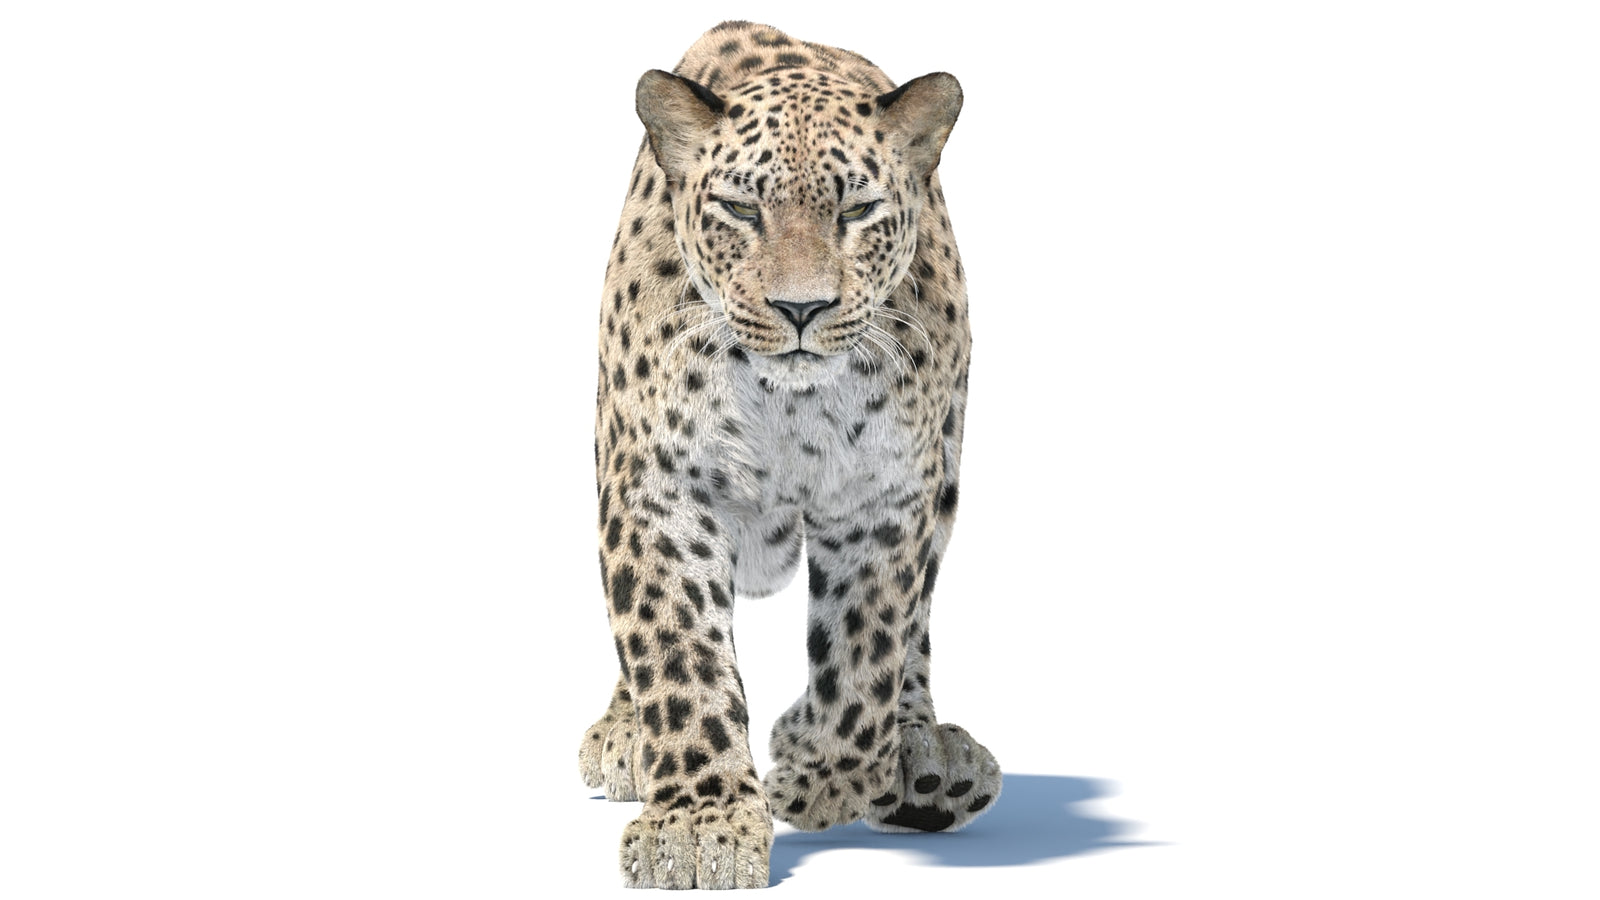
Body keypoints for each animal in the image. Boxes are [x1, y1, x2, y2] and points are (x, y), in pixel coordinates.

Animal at [577, 21, 1000, 889]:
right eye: (741, 209)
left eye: (859, 209)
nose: (801, 308)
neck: (790, 401)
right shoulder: (660, 491)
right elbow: (677, 653)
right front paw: (698, 827)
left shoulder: (888, 500)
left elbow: (867, 657)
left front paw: (820, 775)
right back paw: (625, 735)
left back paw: (927, 758)